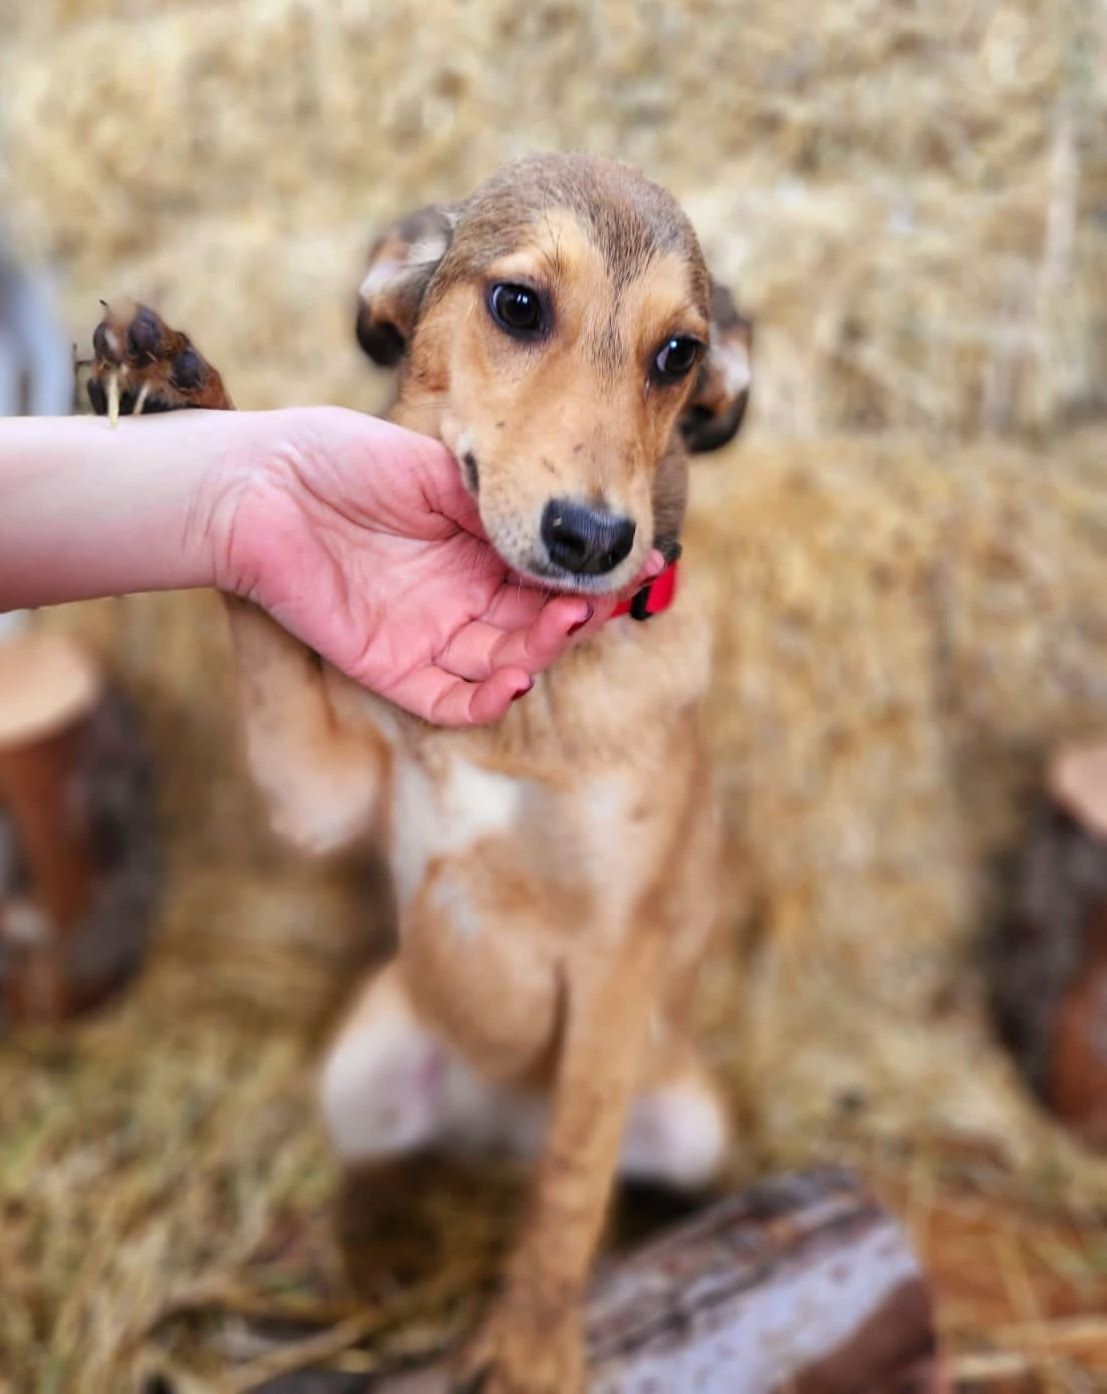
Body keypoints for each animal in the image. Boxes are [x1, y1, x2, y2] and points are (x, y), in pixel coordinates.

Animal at [88, 152, 752, 1394]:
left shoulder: (618, 952)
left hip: (685, 1110)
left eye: (678, 354)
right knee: (380, 1171)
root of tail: (488, 1133)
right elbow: (264, 602)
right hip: (367, 1058)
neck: (530, 708)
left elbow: (572, 1180)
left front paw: (532, 1339)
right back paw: (333, 1257)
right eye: (519, 304)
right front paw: (178, 388)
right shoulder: (320, 788)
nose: (596, 540)